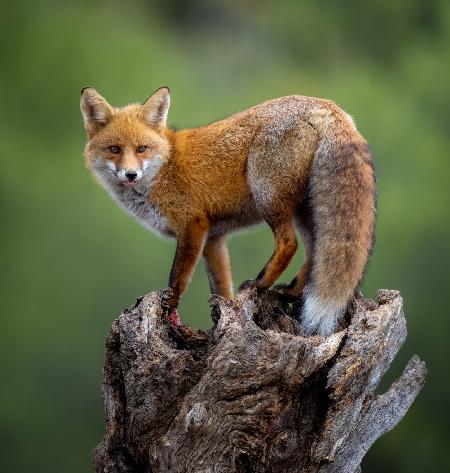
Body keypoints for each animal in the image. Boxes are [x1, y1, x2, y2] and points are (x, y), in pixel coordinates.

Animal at [81, 86, 376, 334]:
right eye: (114, 149)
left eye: (142, 149)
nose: (130, 175)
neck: (164, 167)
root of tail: (325, 104)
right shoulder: (214, 239)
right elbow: (222, 290)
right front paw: (220, 321)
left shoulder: (193, 225)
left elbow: (176, 280)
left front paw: (170, 313)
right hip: (306, 210)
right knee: (315, 252)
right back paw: (292, 292)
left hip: (268, 196)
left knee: (288, 244)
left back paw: (260, 284)